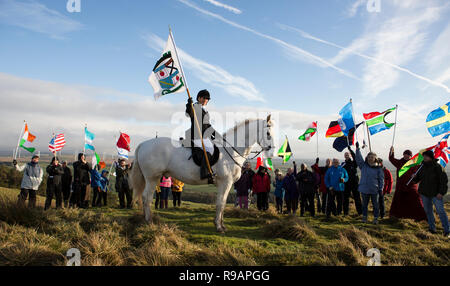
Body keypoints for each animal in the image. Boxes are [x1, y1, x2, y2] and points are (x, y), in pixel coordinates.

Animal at [129, 114, 274, 232]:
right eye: (268, 133)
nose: (272, 153)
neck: (231, 151)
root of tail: (143, 144)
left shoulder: (225, 184)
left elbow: (222, 202)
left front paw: (221, 224)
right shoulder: (225, 182)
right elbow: (221, 203)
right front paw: (218, 226)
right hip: (152, 178)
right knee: (146, 197)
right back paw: (149, 221)